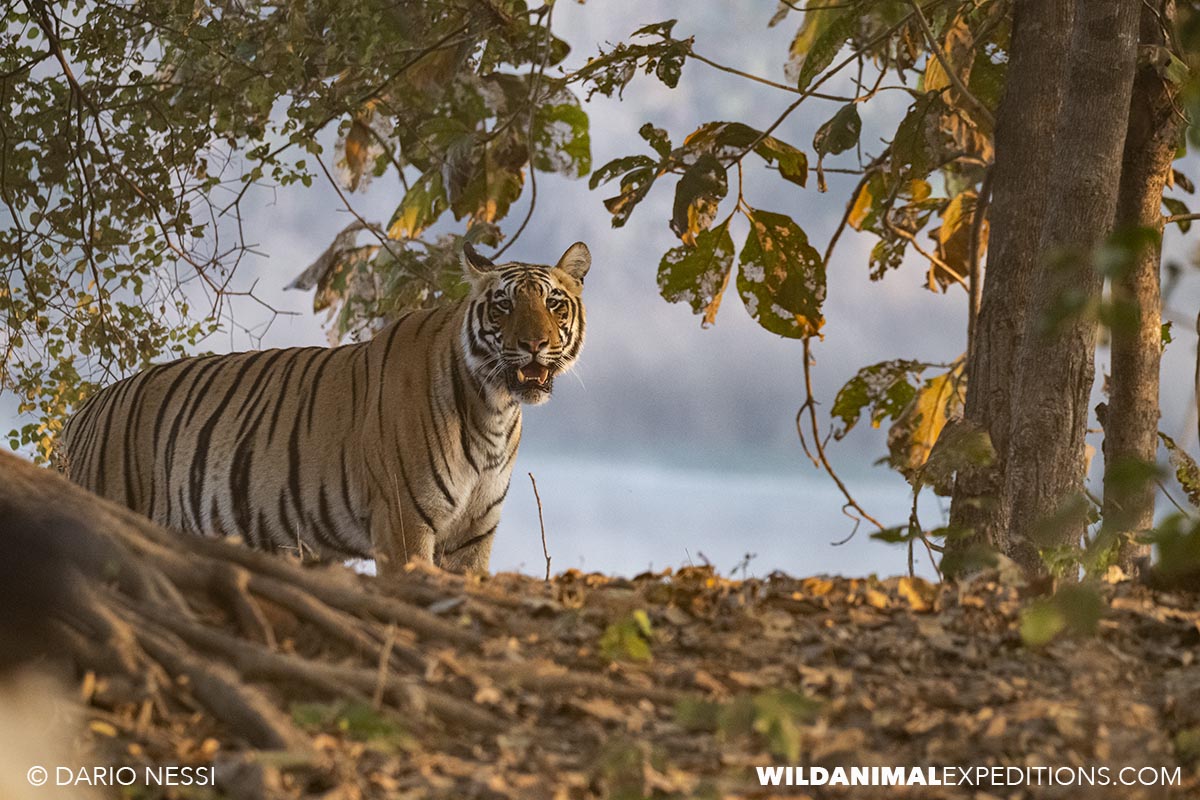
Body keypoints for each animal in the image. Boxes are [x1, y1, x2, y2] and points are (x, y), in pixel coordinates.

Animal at [57, 241, 590, 575]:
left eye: (555, 304)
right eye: (503, 306)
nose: (535, 344)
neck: (493, 409)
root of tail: (84, 410)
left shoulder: (472, 536)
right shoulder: (404, 522)